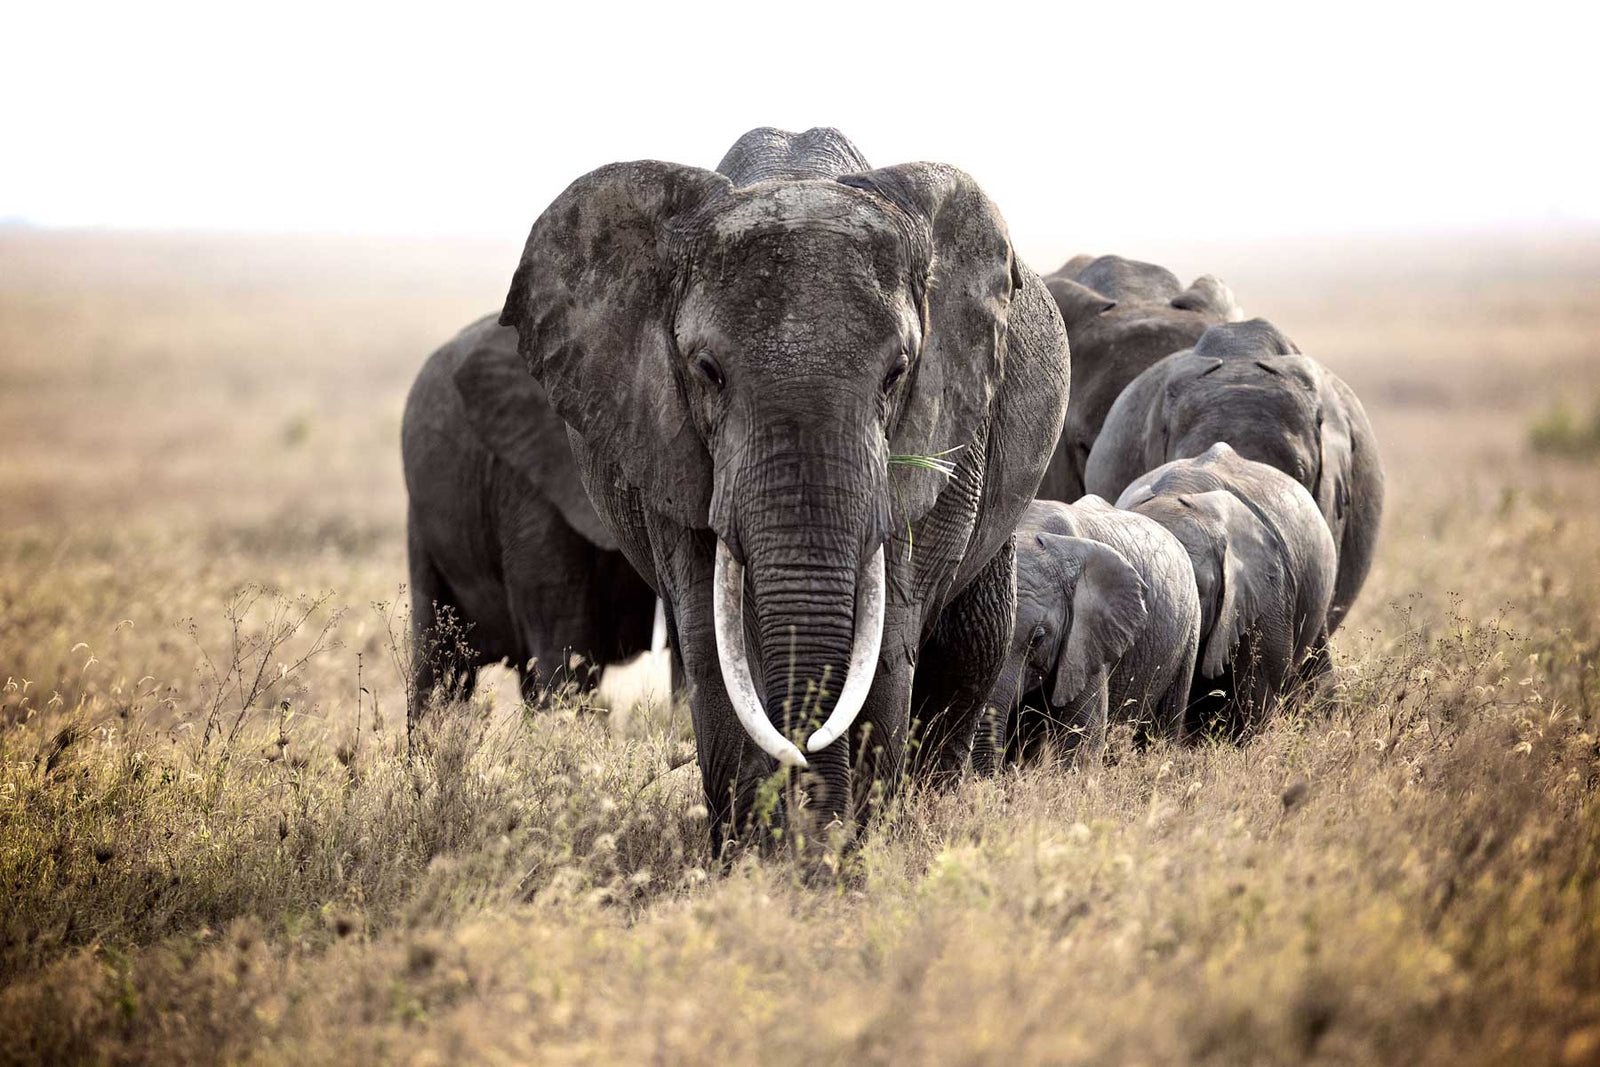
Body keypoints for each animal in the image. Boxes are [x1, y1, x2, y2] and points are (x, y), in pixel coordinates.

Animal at [496, 126, 1070, 847]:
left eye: (898, 373)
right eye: (707, 370)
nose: (804, 820)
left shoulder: (942, 432)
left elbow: (889, 640)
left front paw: (847, 852)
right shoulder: (667, 443)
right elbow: (716, 643)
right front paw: (749, 854)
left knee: (974, 645)